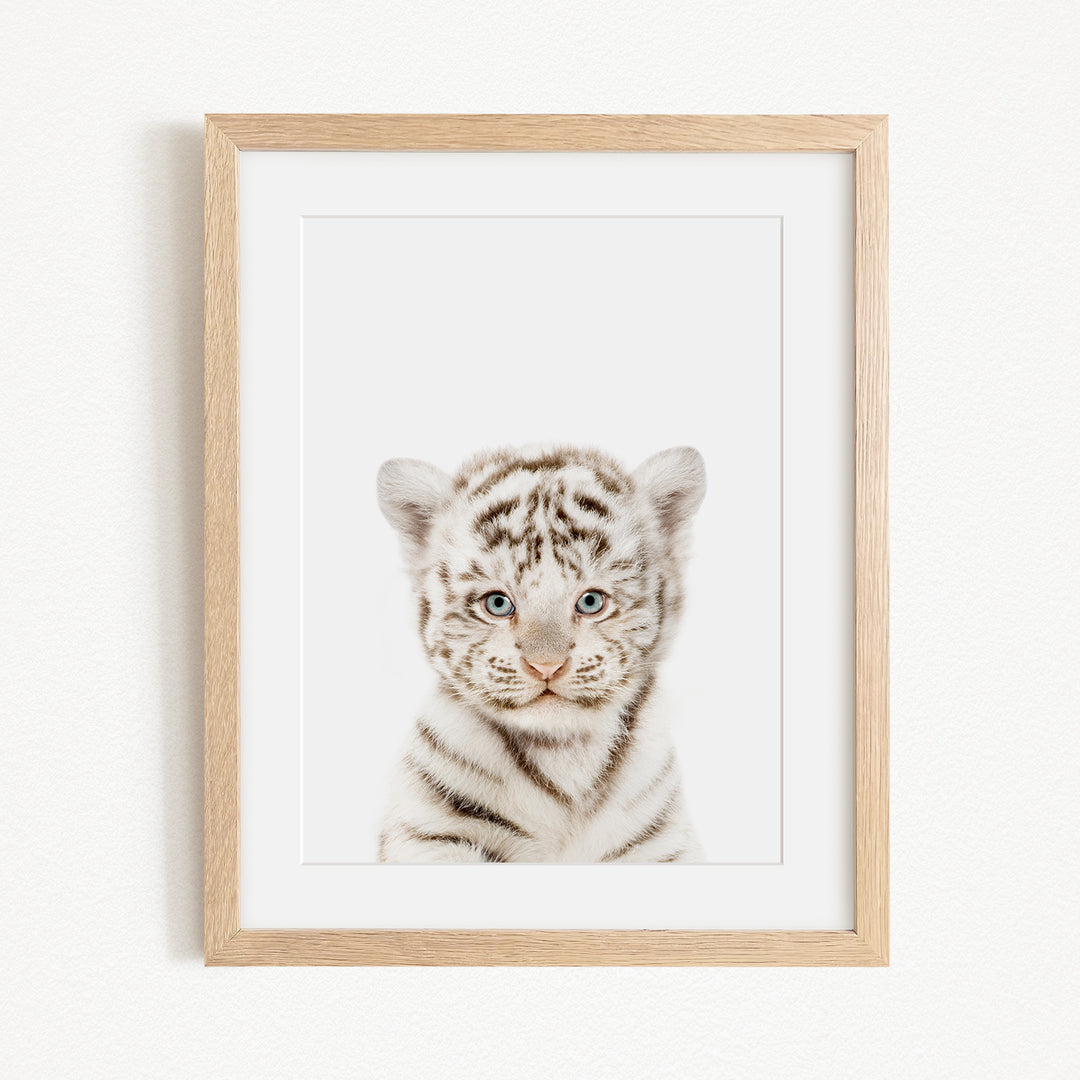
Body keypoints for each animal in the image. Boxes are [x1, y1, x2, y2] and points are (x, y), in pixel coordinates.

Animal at [375, 444, 707, 863]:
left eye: (591, 601)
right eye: (498, 603)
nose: (546, 666)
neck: (563, 755)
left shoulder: (661, 843)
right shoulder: (431, 833)